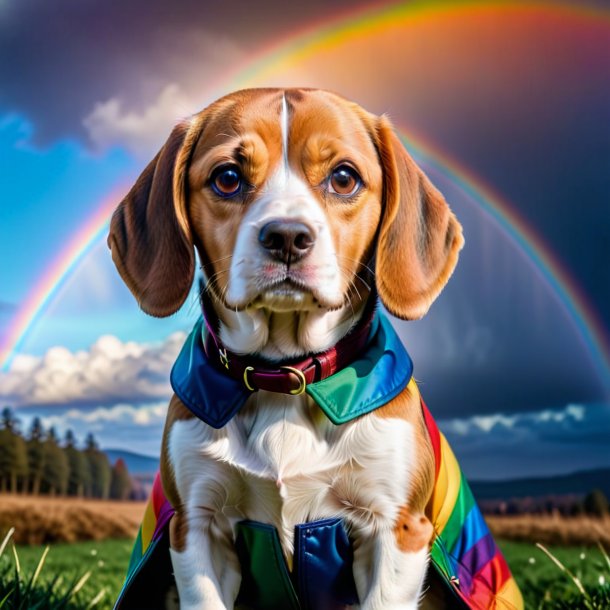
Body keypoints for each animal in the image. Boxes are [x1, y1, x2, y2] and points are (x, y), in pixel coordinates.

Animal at [110, 86, 524, 608]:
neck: (284, 375)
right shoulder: (196, 526)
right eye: (227, 178)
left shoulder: (396, 529)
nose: (287, 236)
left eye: (343, 178)